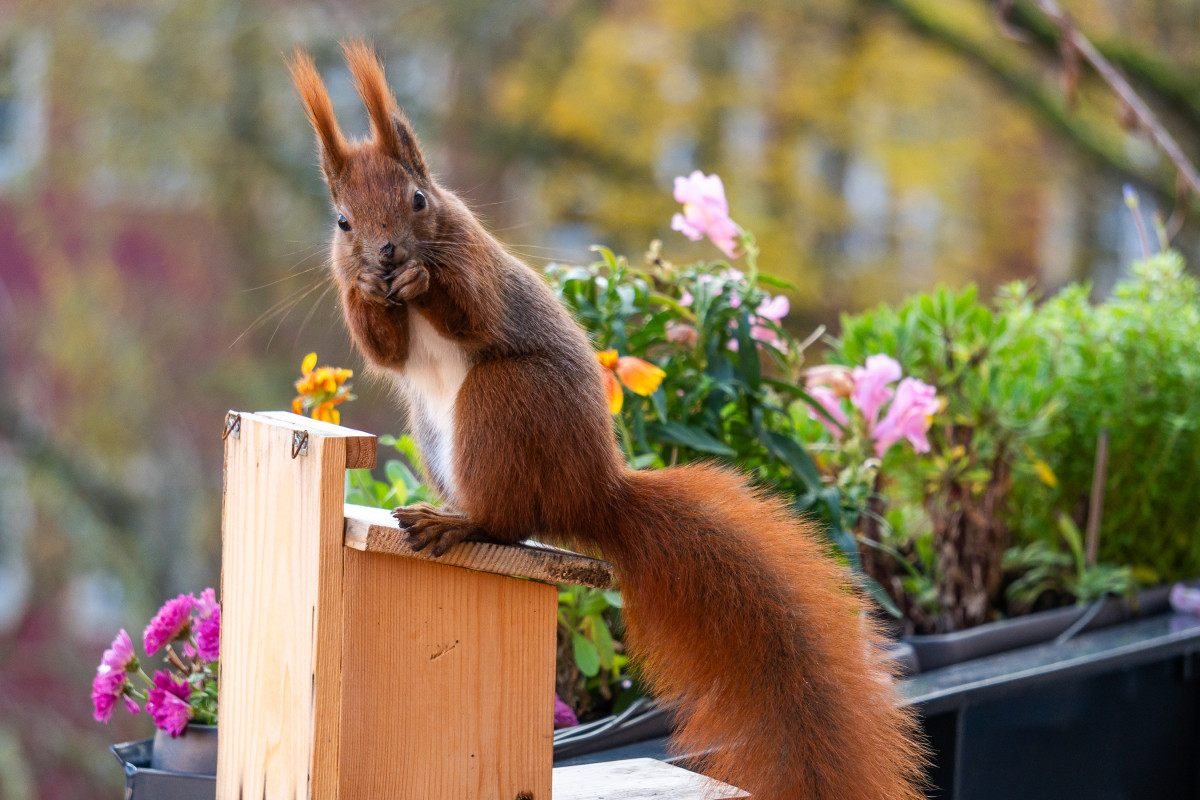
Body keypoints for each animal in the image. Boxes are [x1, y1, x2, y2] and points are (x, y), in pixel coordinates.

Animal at [292, 43, 926, 800]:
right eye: (342, 222)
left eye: (418, 199)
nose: (387, 254)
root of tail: (594, 491)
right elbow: (383, 348)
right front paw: (368, 289)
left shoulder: (476, 262)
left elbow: (471, 309)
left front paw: (423, 281)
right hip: (436, 431)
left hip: (502, 398)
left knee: (509, 520)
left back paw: (458, 523)